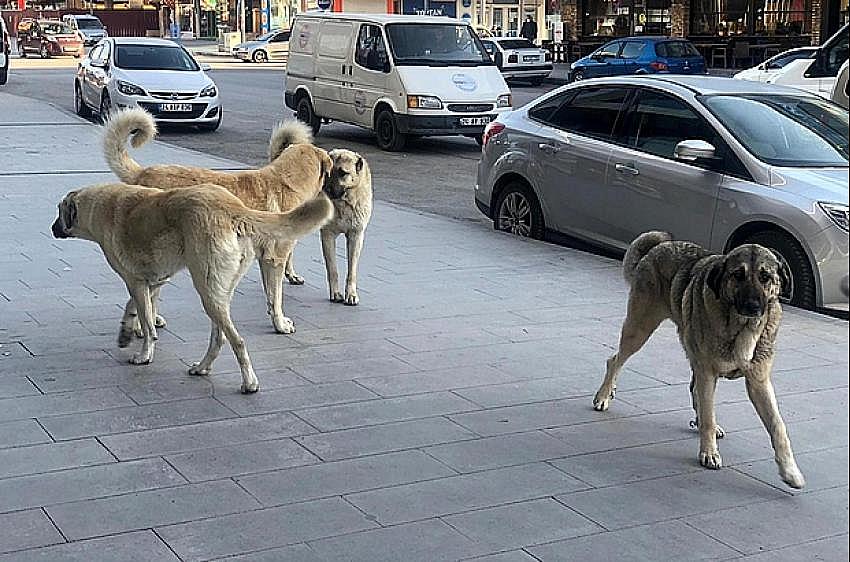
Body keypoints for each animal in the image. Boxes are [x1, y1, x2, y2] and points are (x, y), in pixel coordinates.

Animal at [51, 182, 332, 392]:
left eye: (59, 211)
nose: (52, 229)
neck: (98, 207)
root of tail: (233, 208)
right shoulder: (153, 280)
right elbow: (138, 309)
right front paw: (126, 332)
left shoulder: (136, 282)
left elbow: (147, 323)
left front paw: (144, 354)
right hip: (218, 293)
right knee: (219, 338)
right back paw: (202, 368)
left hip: (207, 291)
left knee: (237, 341)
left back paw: (249, 383)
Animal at [588, 230, 800, 488]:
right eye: (737, 275)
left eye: (765, 277)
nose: (752, 306)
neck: (741, 327)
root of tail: (658, 246)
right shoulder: (708, 372)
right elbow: (708, 415)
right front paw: (709, 452)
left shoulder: (758, 382)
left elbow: (778, 426)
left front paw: (790, 471)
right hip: (639, 329)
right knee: (615, 359)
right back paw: (603, 395)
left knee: (693, 388)